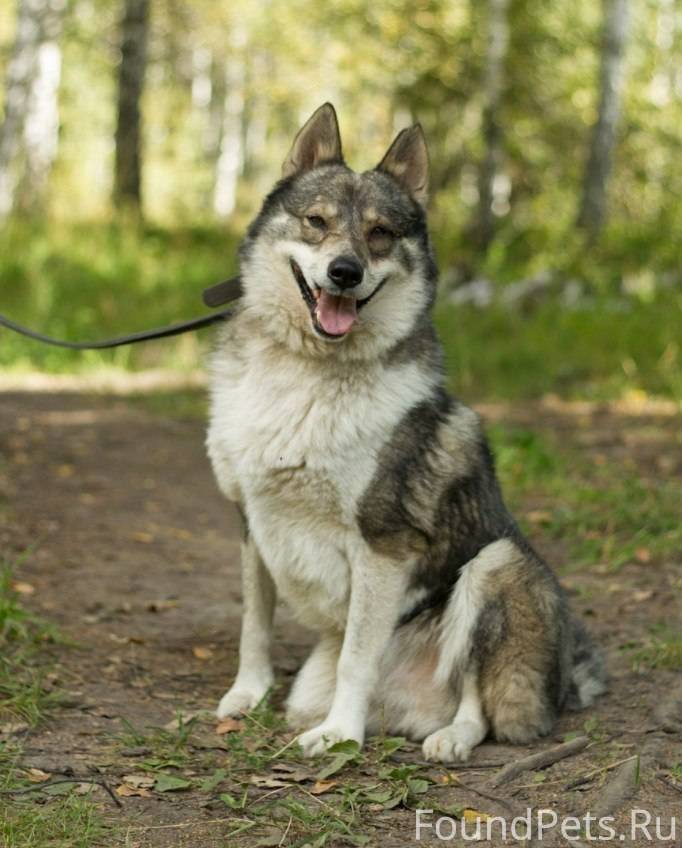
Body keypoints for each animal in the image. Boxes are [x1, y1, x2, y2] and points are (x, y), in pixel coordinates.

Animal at [205, 102, 604, 760]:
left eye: (380, 234)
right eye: (316, 222)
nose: (345, 272)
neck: (308, 372)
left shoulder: (382, 544)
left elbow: (357, 659)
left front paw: (340, 734)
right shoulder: (249, 522)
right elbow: (253, 626)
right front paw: (247, 693)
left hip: (495, 563)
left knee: (478, 703)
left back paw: (449, 738)